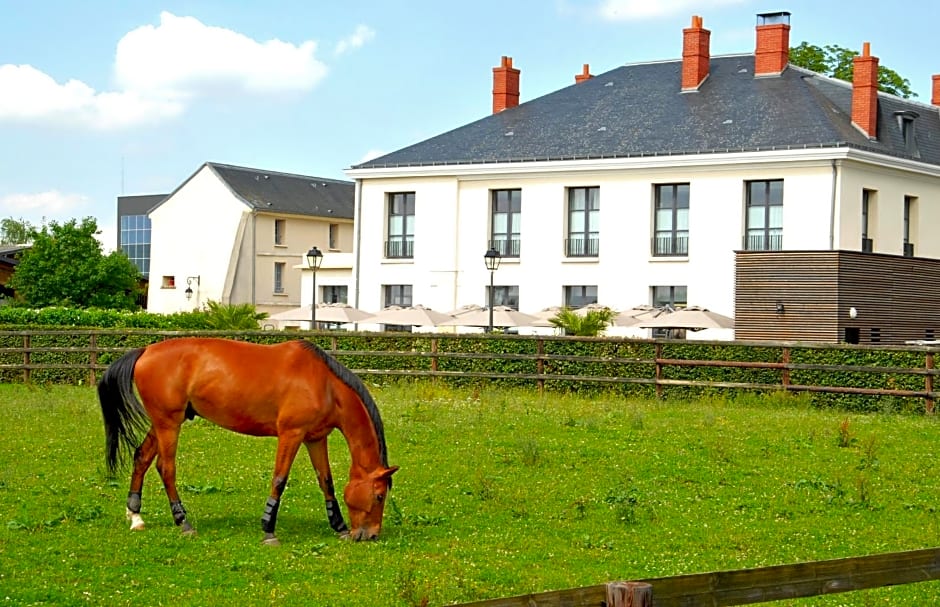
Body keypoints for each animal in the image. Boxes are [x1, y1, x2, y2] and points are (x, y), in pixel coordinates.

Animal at [97, 338, 398, 548]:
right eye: (379, 496)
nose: (371, 535)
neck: (325, 384)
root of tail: (145, 351)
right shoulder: (291, 434)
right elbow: (279, 480)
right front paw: (268, 530)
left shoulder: (315, 438)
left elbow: (326, 481)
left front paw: (339, 526)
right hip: (168, 424)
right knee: (166, 468)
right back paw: (183, 522)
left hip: (162, 423)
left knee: (141, 457)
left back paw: (135, 516)